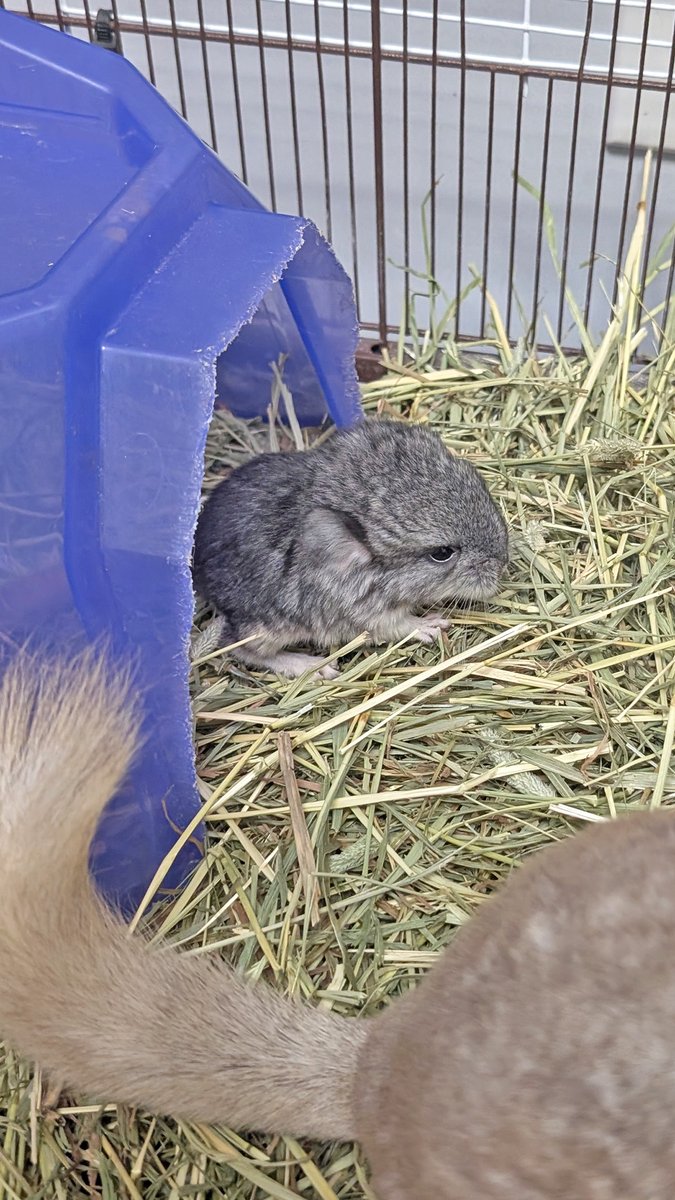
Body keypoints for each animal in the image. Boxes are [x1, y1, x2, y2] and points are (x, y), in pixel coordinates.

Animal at [191, 418, 509, 677]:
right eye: (442, 553)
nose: (503, 563)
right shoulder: (367, 614)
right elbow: (400, 624)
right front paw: (432, 625)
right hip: (264, 629)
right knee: (239, 647)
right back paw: (314, 667)